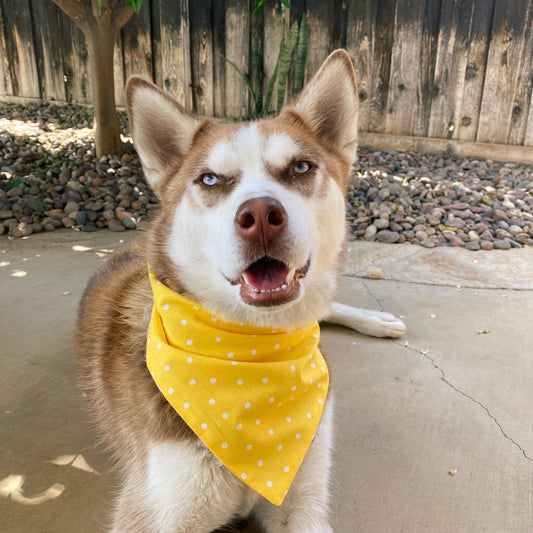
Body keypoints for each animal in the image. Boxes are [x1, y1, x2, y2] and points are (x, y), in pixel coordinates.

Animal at [76, 51, 404, 532]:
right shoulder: (154, 512)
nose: (262, 215)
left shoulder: (304, 497)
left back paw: (378, 320)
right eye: (210, 179)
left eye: (300, 167)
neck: (249, 356)